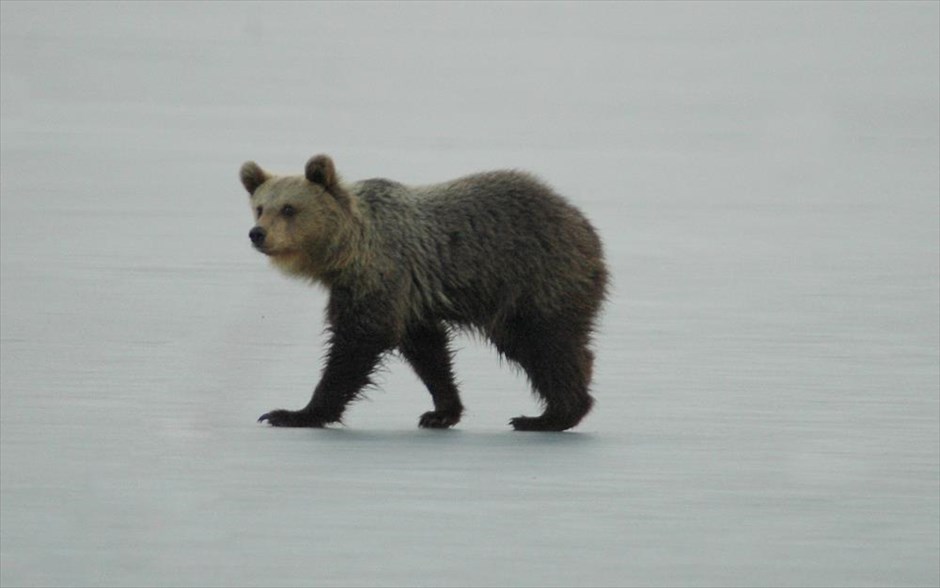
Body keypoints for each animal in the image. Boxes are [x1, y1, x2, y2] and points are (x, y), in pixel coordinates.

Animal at [241, 155, 608, 432]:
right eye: (260, 207)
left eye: (289, 209)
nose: (257, 234)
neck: (348, 250)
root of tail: (584, 225)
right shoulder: (410, 297)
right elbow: (427, 350)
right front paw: (441, 411)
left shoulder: (382, 276)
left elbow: (358, 341)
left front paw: (293, 413)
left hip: (534, 277)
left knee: (543, 344)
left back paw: (549, 415)